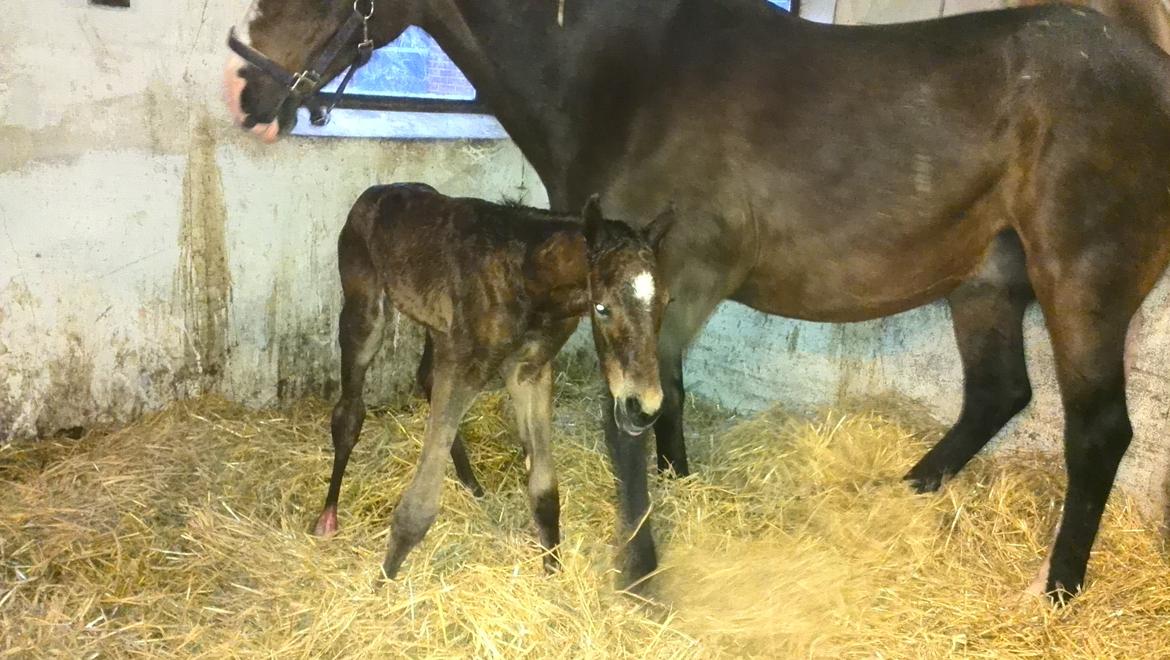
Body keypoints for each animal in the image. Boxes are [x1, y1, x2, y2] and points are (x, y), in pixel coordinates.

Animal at [223, 0, 1170, 603]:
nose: (246, 93)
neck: (621, 73)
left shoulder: (662, 281)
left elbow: (630, 422)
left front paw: (640, 573)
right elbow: (663, 399)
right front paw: (678, 490)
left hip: (1083, 283)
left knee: (1096, 434)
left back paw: (1055, 589)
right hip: (986, 282)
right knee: (998, 392)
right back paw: (908, 490)